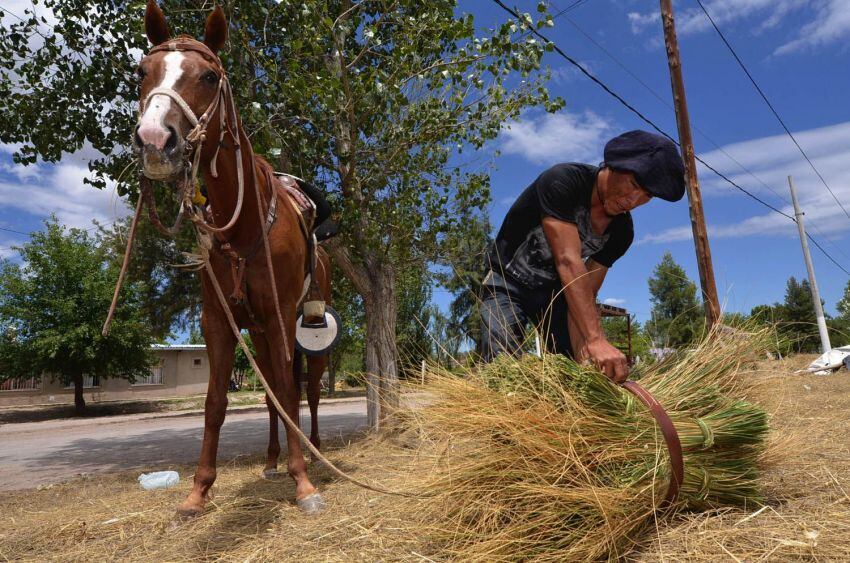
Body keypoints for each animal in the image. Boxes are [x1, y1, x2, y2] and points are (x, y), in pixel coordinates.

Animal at [134, 1, 330, 516]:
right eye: (142, 72)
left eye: (207, 76)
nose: (155, 141)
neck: (242, 232)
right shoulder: (219, 322)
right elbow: (216, 403)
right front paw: (198, 491)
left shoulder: (279, 318)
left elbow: (291, 393)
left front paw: (305, 484)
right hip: (256, 333)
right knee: (273, 396)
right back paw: (273, 460)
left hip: (306, 332)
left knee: (310, 392)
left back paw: (315, 453)